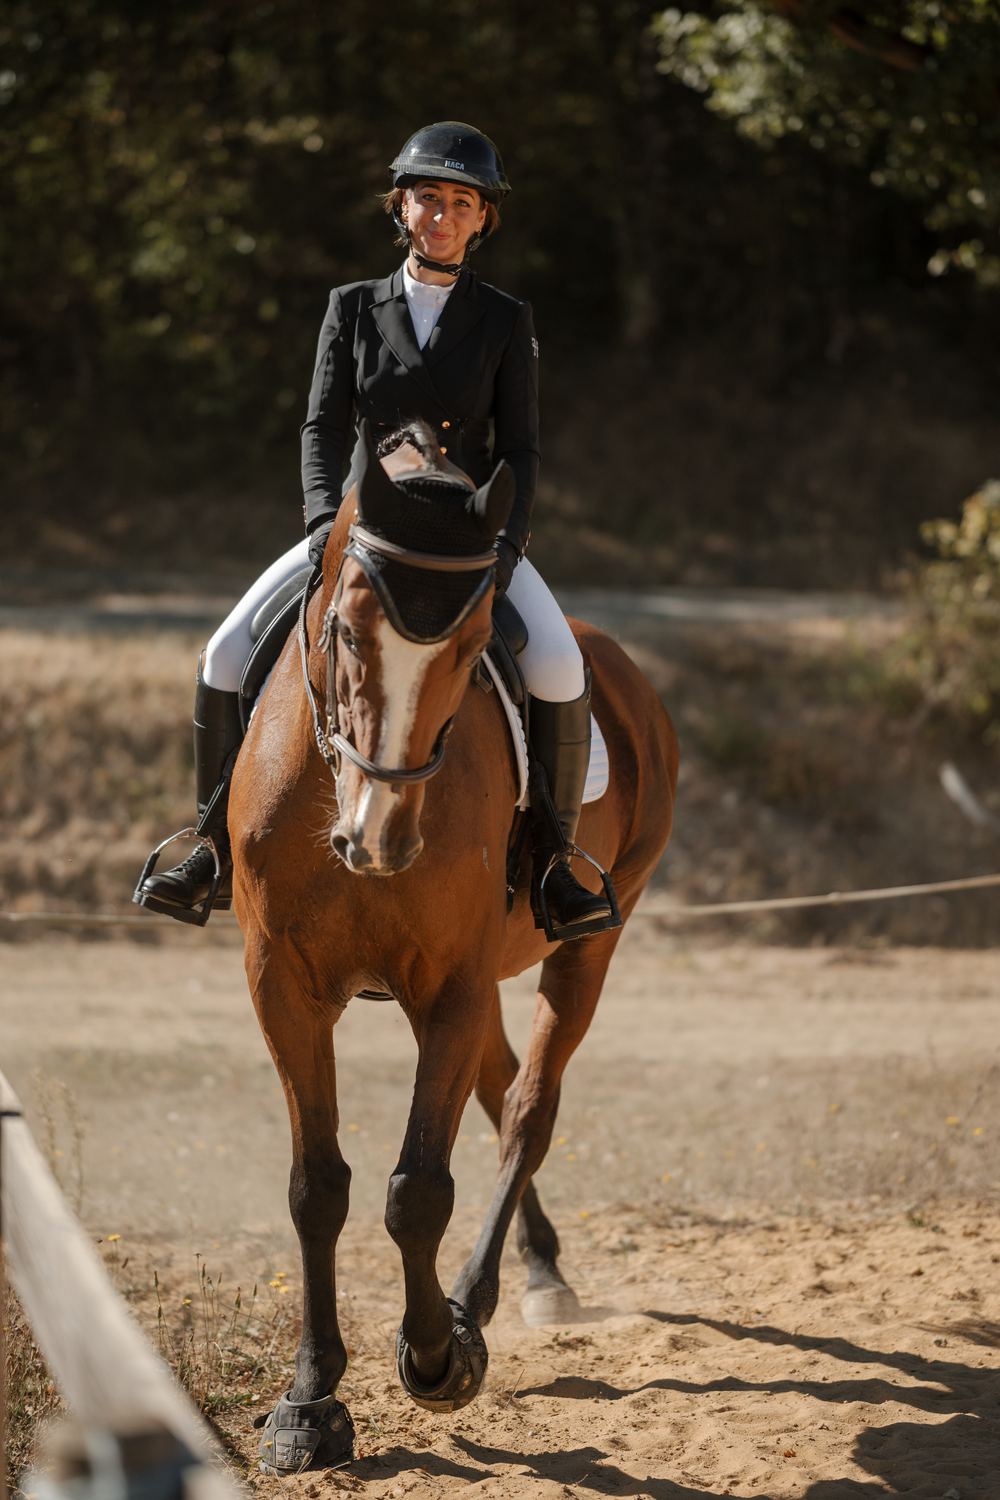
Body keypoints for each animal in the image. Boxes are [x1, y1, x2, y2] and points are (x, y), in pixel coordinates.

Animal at [229, 420, 678, 1471]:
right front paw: (309, 1402)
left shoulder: (450, 987)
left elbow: (416, 1190)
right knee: (499, 1084)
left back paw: (484, 1296)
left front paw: (438, 1356)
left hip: (586, 944)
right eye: (347, 631)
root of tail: (623, 667)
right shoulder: (282, 986)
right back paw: (538, 1268)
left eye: (474, 649)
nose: (381, 840)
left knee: (527, 1106)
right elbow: (317, 1187)